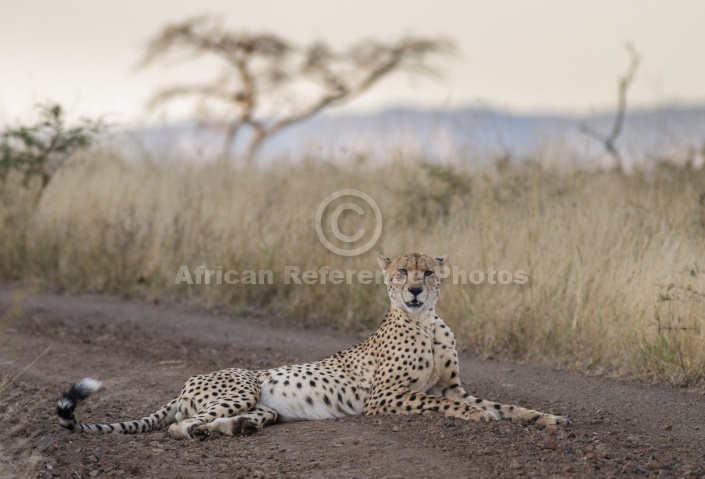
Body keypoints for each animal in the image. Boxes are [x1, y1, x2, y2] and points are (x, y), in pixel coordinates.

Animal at [57, 253, 568, 440]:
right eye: (402, 272)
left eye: (427, 272)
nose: (415, 291)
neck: (424, 320)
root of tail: (188, 379)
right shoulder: (387, 398)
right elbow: (450, 405)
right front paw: (480, 418)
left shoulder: (452, 387)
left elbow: (502, 404)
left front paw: (546, 418)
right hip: (240, 385)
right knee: (181, 427)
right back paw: (210, 431)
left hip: (263, 406)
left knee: (223, 420)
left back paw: (238, 428)